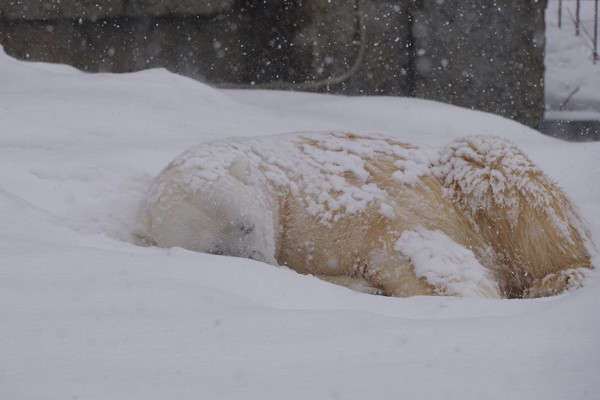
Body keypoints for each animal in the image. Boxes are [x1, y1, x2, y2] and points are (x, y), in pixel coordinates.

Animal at [132, 133, 596, 298]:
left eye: (245, 225)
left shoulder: (318, 202)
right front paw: (366, 287)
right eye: (215, 252)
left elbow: (401, 239)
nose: (260, 264)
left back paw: (559, 279)